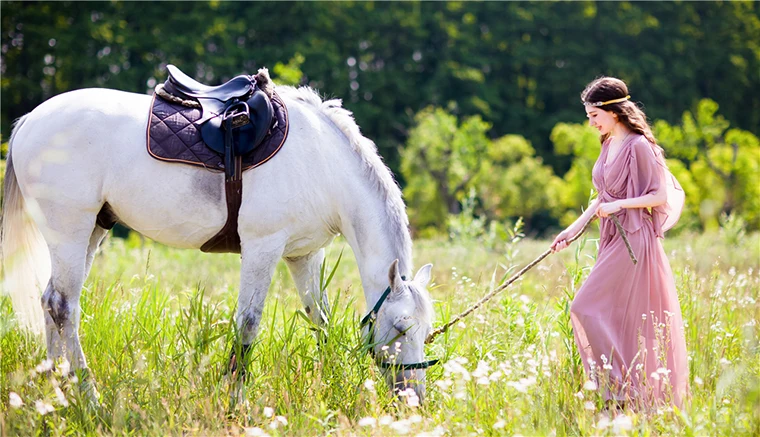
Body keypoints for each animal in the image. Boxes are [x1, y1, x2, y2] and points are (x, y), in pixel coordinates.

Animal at [0, 83, 436, 400]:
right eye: (401, 327)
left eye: (426, 330)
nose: (413, 397)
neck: (323, 163)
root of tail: (30, 120)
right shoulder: (263, 247)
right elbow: (248, 325)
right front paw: (236, 400)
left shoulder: (304, 255)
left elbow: (319, 320)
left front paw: (326, 383)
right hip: (69, 229)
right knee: (64, 307)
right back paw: (88, 398)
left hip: (92, 230)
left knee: (50, 302)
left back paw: (57, 393)